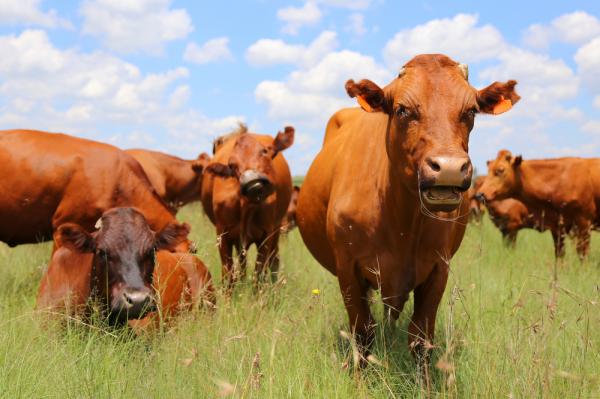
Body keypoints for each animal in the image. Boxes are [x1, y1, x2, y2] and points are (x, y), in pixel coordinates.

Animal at [202, 126, 296, 286]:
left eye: (264, 151)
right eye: (231, 165)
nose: (253, 181)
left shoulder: (266, 235)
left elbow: (258, 276)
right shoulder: (222, 234)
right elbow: (228, 275)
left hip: (276, 230)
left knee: (274, 260)